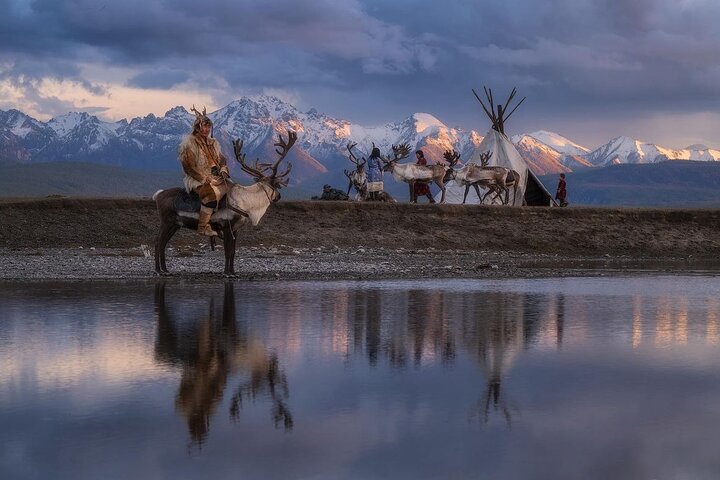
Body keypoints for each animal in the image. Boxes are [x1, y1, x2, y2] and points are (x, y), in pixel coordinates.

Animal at [152, 131, 296, 277]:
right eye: (277, 185)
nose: (279, 196)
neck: (247, 202)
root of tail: (158, 194)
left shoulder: (236, 229)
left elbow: (233, 253)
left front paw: (232, 272)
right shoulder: (226, 227)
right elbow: (228, 252)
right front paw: (227, 273)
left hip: (176, 224)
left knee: (163, 243)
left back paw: (165, 269)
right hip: (167, 222)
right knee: (158, 242)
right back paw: (159, 270)